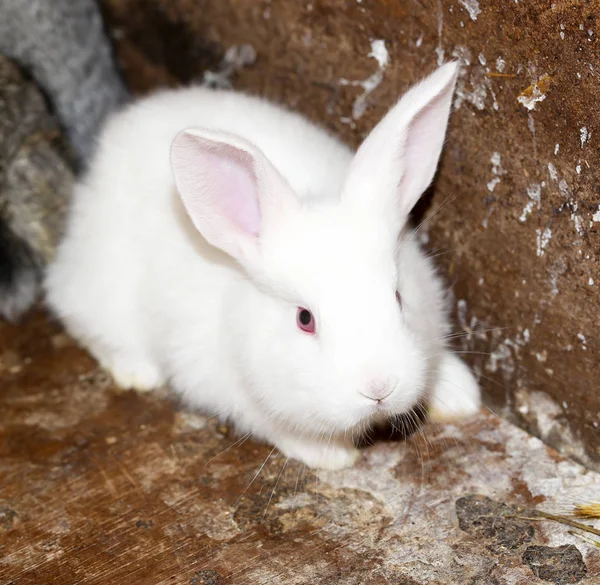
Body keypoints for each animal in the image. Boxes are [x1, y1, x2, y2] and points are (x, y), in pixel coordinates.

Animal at [44, 60, 480, 470]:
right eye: (304, 319)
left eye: (399, 297)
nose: (379, 388)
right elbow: (277, 426)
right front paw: (331, 455)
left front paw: (462, 396)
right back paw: (137, 373)